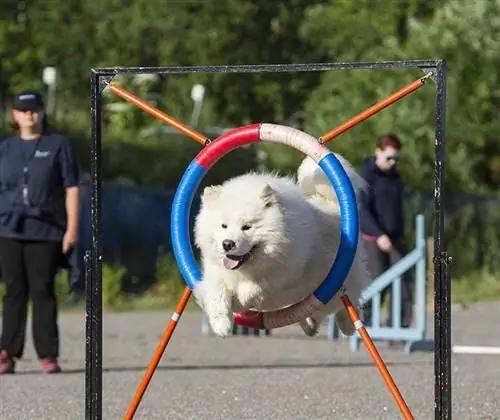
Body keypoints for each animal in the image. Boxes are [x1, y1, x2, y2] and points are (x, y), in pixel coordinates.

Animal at [193, 154, 370, 338]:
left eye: (246, 227)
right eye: (223, 226)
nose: (227, 244)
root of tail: (330, 204)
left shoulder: (279, 276)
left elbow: (250, 291)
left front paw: (238, 302)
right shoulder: (216, 272)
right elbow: (217, 295)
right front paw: (222, 325)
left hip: (336, 283)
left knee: (344, 302)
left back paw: (347, 325)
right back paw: (310, 325)